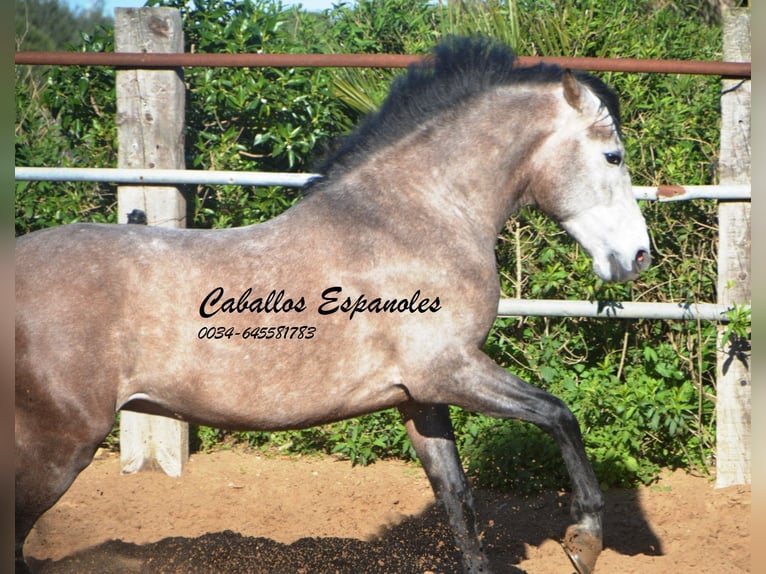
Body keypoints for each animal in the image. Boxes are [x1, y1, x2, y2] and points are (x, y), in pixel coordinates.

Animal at [15, 38, 652, 572]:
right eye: (614, 156)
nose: (638, 256)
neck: (417, 218)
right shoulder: (451, 370)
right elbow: (559, 415)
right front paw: (585, 540)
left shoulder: (422, 396)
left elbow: (458, 499)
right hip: (58, 446)